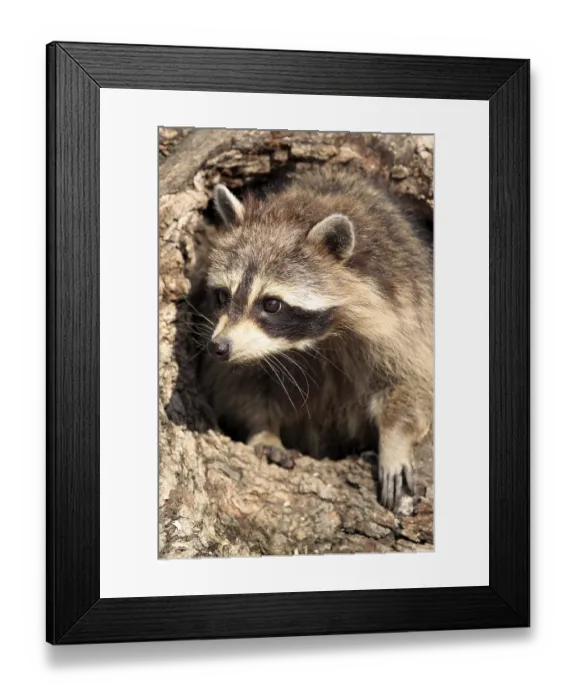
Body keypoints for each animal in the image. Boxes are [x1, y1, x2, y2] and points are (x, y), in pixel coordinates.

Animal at [195, 167, 433, 511]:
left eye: (271, 304)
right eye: (224, 295)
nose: (218, 347)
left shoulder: (406, 310)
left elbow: (410, 379)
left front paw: (395, 439)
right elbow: (238, 385)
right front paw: (263, 431)